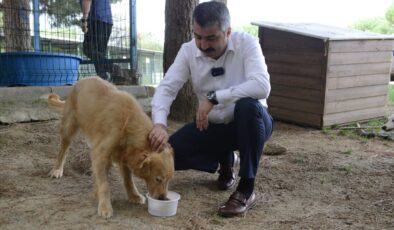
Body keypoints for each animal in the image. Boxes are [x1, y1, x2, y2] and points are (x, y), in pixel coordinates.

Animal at [47, 77, 174, 217]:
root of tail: (82, 80)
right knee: (63, 150)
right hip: (68, 129)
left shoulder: (123, 156)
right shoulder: (101, 155)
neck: (128, 123)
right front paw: (105, 207)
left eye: (169, 180)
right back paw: (57, 170)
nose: (163, 198)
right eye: (158, 179)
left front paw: (133, 196)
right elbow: (105, 185)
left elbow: (128, 180)